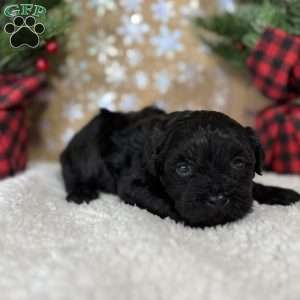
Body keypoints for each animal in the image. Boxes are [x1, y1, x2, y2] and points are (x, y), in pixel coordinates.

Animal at [59, 106, 298, 226]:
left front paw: (280, 193)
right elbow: (161, 201)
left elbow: (253, 187)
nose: (218, 199)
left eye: (238, 163)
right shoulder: (133, 184)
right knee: (74, 173)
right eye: (183, 169)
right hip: (87, 152)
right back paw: (81, 192)